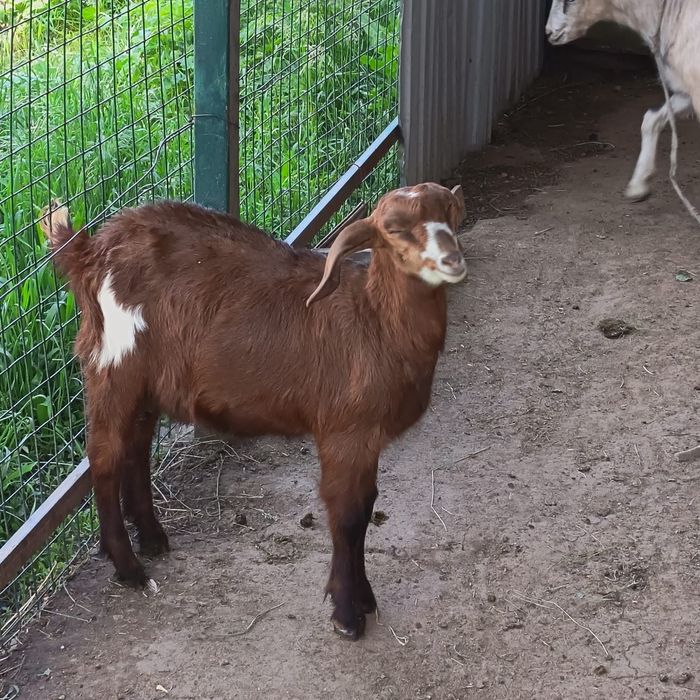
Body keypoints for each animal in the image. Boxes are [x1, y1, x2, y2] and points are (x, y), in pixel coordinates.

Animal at [40, 183, 467, 640]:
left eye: (451, 212)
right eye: (394, 229)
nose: (452, 260)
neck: (373, 319)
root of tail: (89, 251)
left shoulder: (367, 438)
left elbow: (366, 508)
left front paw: (364, 599)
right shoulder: (344, 430)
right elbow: (348, 515)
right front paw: (347, 613)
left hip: (147, 382)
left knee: (134, 448)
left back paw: (152, 538)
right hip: (113, 365)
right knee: (104, 455)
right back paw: (129, 567)